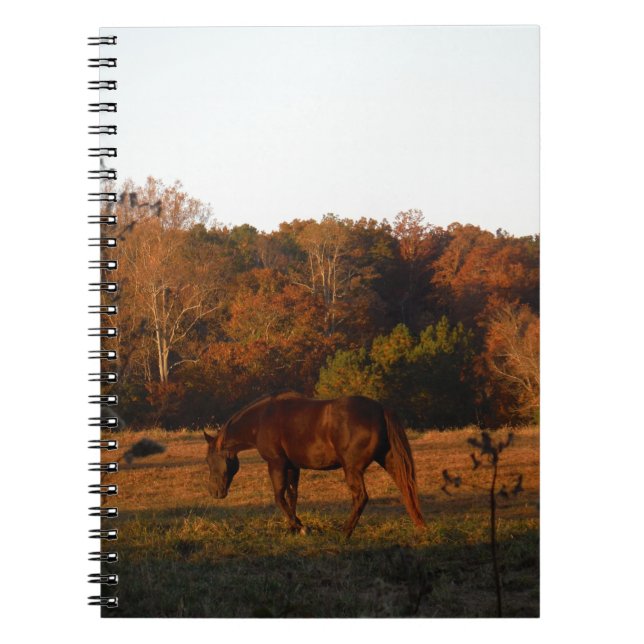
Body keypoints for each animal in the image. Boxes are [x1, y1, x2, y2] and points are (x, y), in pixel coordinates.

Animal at [203, 392, 426, 537]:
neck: (261, 419)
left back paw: (345, 532)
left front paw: (301, 527)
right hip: (389, 460)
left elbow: (279, 497)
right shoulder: (293, 467)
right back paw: (419, 525)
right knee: (406, 487)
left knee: (361, 497)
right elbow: (292, 496)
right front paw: (293, 527)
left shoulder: (276, 464)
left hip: (352, 469)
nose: (214, 492)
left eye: (209, 460)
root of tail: (380, 409)